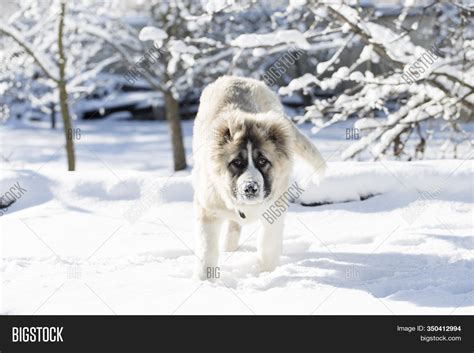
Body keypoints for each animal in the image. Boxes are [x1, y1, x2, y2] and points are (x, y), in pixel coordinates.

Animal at [193, 75, 326, 280]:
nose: (250, 188)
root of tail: (236, 78)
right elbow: (208, 249)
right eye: (237, 162)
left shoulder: (275, 210)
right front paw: (206, 279)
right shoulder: (208, 209)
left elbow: (267, 245)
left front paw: (267, 274)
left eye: (263, 161)